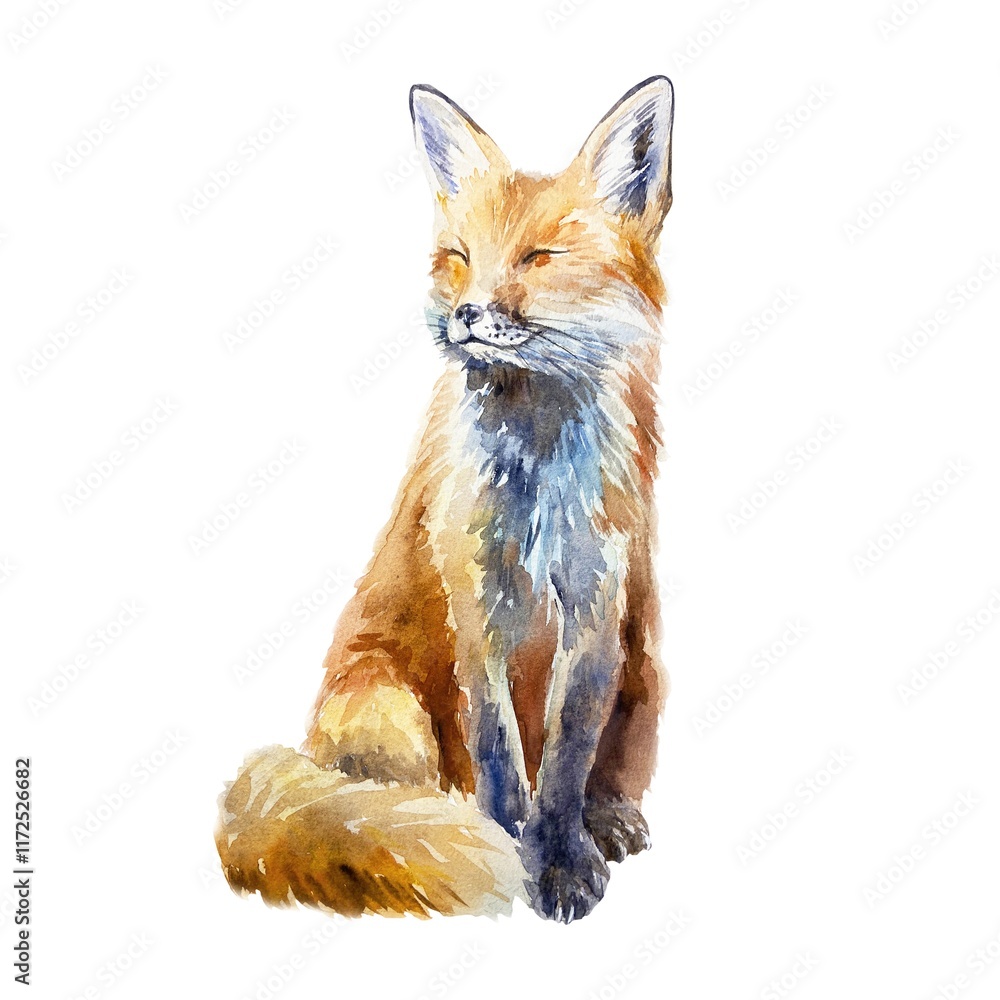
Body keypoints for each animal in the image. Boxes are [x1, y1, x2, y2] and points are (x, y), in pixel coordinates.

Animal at [216, 75, 674, 923]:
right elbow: (498, 745)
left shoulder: (596, 604)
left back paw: (610, 818)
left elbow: (566, 755)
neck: (534, 483)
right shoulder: (475, 599)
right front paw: (509, 842)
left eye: (539, 256)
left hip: (646, 665)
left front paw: (560, 856)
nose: (465, 315)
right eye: (459, 259)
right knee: (397, 795)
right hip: (390, 712)